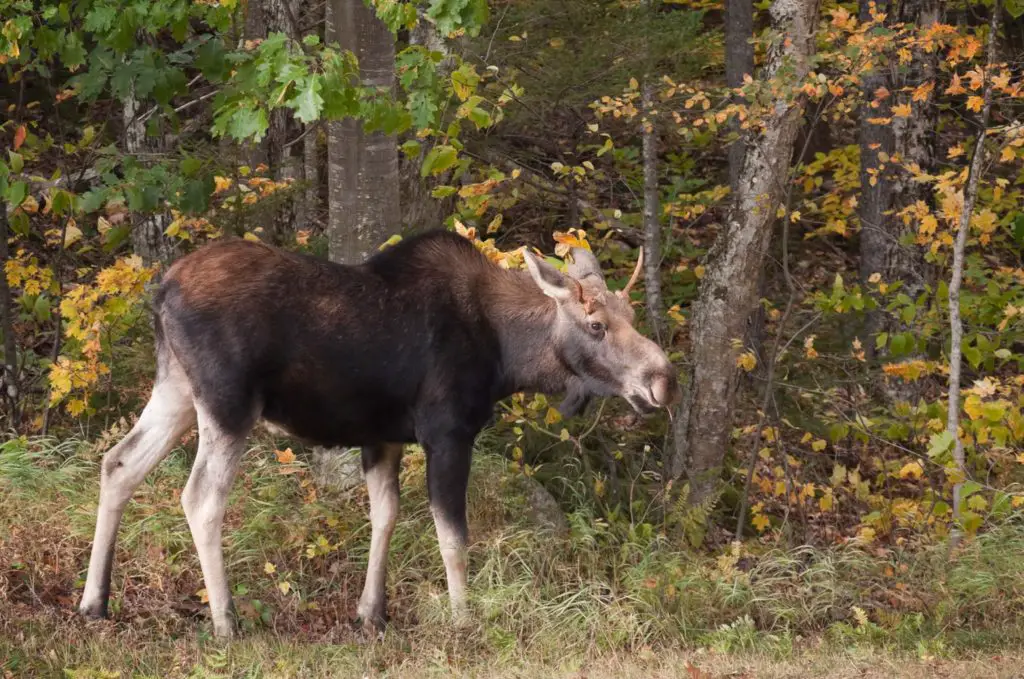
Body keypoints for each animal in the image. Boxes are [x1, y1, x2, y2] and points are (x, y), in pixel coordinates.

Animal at [79, 231, 679, 639]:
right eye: (596, 325)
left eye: (631, 314)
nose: (663, 380)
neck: (508, 356)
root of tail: (161, 292)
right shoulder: (447, 432)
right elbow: (453, 537)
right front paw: (464, 620)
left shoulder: (383, 438)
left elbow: (384, 517)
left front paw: (372, 613)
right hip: (227, 404)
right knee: (201, 496)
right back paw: (225, 621)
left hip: (177, 390)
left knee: (118, 463)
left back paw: (94, 602)